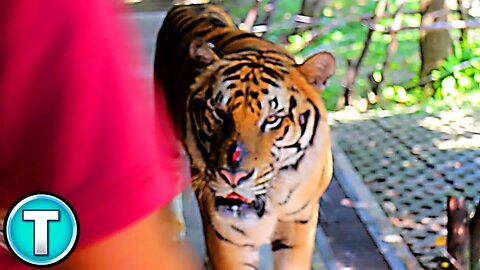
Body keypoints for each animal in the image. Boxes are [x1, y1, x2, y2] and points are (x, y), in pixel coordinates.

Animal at [154, 3, 334, 268]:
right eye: (218, 112)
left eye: (272, 119)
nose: (233, 176)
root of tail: (192, 5)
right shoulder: (228, 236)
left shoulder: (300, 223)